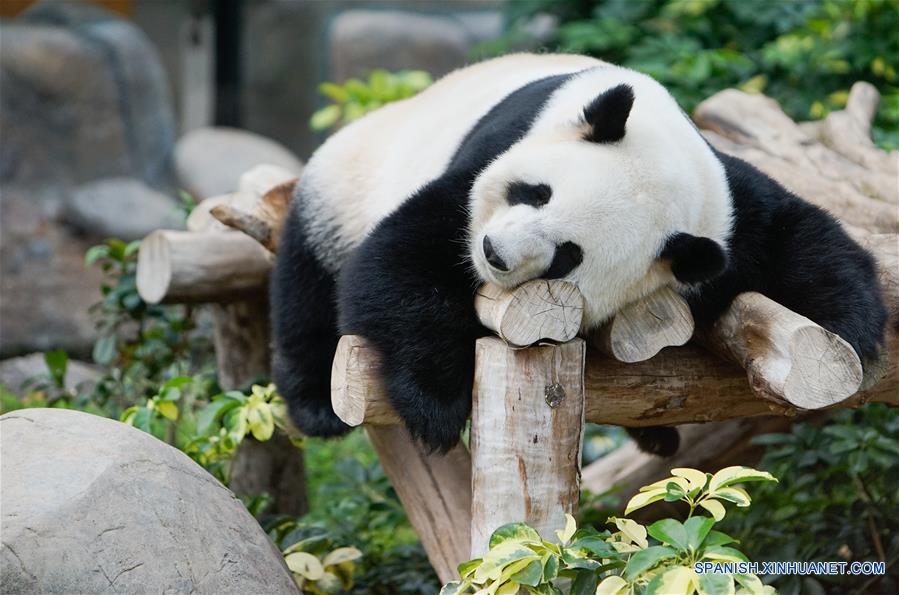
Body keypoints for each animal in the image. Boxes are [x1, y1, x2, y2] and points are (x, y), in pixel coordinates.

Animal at [271, 53, 888, 455]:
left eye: (568, 255)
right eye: (535, 192)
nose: (492, 253)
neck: (661, 145)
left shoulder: (725, 213)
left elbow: (797, 238)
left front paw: (851, 330)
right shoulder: (500, 148)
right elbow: (399, 260)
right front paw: (434, 405)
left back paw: (657, 436)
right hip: (345, 182)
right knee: (307, 285)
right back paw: (316, 405)